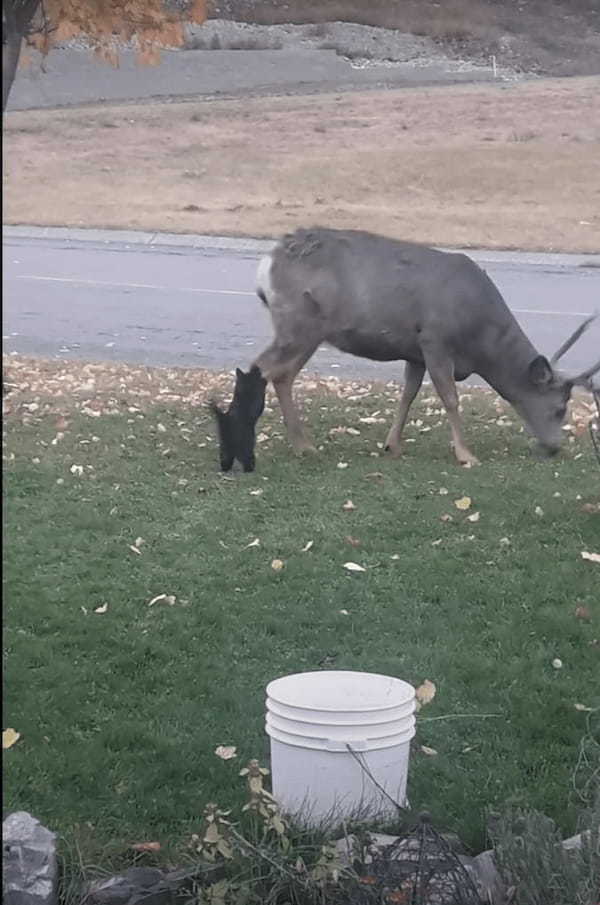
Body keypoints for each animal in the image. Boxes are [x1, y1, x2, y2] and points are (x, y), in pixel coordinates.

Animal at [251, 226, 596, 466]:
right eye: (559, 408)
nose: (554, 447)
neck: (480, 343)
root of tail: (267, 263)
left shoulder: (414, 350)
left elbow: (409, 393)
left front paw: (392, 444)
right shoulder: (435, 338)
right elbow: (450, 397)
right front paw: (465, 454)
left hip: (306, 331)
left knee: (281, 374)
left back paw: (302, 445)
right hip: (299, 323)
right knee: (264, 367)